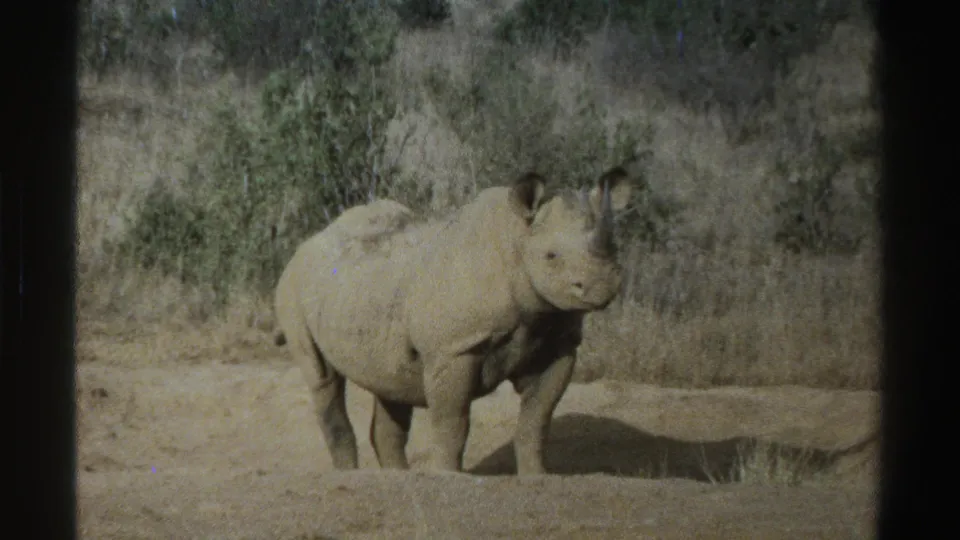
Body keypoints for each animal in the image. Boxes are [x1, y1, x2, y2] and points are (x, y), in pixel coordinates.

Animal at [272, 162, 636, 475]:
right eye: (551, 256)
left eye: (614, 246)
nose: (602, 284)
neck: (517, 241)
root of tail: (307, 243)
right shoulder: (454, 348)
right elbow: (453, 421)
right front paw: (448, 475)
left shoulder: (557, 341)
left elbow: (537, 419)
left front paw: (537, 477)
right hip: (294, 289)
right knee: (323, 378)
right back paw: (351, 474)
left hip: (364, 290)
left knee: (389, 382)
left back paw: (397, 477)